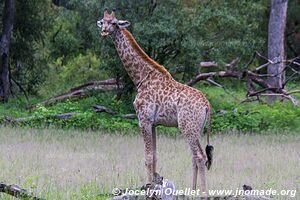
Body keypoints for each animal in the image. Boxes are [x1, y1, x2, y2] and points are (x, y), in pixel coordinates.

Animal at [96, 9, 213, 192]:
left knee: (200, 156)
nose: (104, 31)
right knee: (195, 156)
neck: (141, 78)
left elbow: (148, 157)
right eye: (103, 21)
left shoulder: (143, 119)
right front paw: (155, 183)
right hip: (197, 129)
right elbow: (155, 156)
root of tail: (207, 105)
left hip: (187, 126)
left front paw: (149, 186)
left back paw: (203, 192)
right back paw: (192, 189)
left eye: (114, 23)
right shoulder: (154, 123)